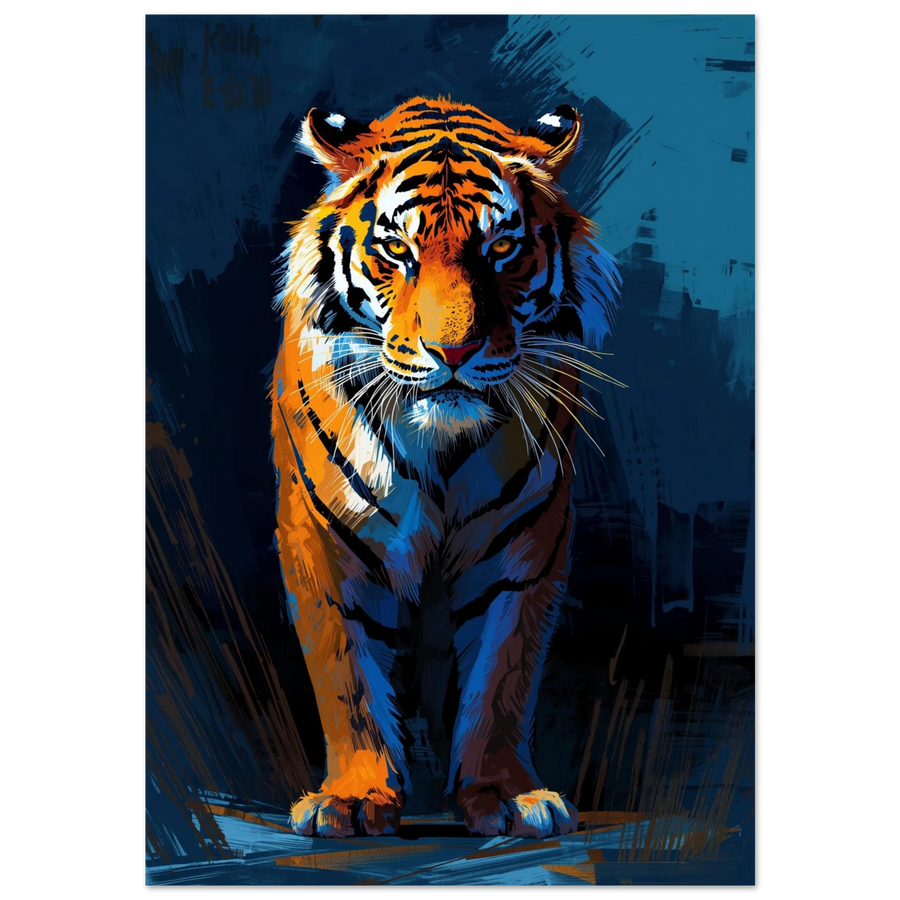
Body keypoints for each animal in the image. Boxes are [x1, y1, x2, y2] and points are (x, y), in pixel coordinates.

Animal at [271, 97, 620, 839]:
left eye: (500, 249)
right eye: (396, 250)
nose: (453, 351)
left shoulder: (525, 543)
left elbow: (501, 676)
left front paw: (508, 797)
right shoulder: (321, 535)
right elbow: (348, 679)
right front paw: (352, 801)